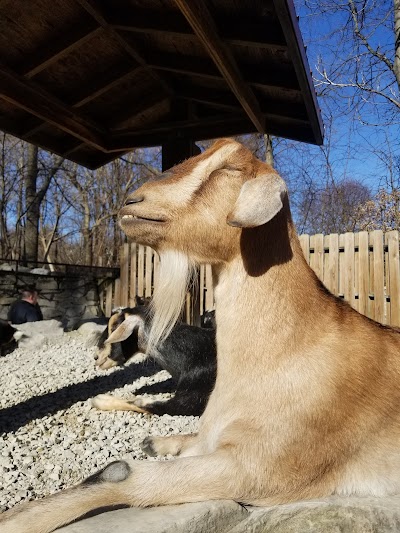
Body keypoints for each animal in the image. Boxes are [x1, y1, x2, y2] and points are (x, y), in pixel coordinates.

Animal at [2, 139, 400, 528]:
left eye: (228, 168)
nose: (132, 202)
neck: (290, 349)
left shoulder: (262, 469)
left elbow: (123, 471)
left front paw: (22, 519)